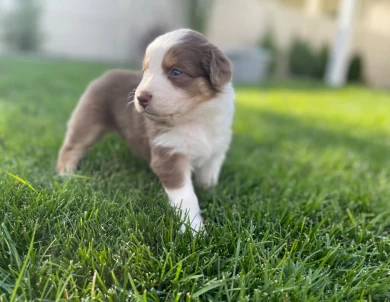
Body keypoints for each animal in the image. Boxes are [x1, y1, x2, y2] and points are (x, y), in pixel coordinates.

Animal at [57, 28, 235, 231]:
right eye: (145, 71)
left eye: (176, 72)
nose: (140, 97)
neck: (196, 118)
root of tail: (106, 74)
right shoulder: (169, 154)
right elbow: (187, 197)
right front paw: (195, 231)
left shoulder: (216, 149)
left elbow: (209, 175)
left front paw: (210, 192)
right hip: (88, 119)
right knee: (71, 147)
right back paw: (67, 174)